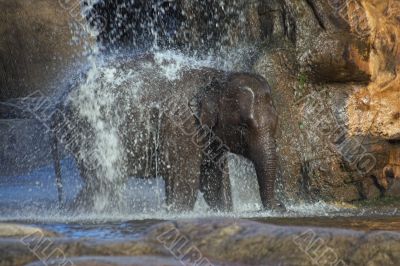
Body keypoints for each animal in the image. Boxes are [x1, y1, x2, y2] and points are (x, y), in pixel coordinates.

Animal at [51, 55, 282, 213]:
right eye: (243, 126)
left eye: (276, 123)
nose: (280, 207)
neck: (216, 78)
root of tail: (58, 104)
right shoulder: (182, 127)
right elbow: (186, 184)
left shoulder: (208, 137)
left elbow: (213, 182)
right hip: (88, 131)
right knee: (103, 183)